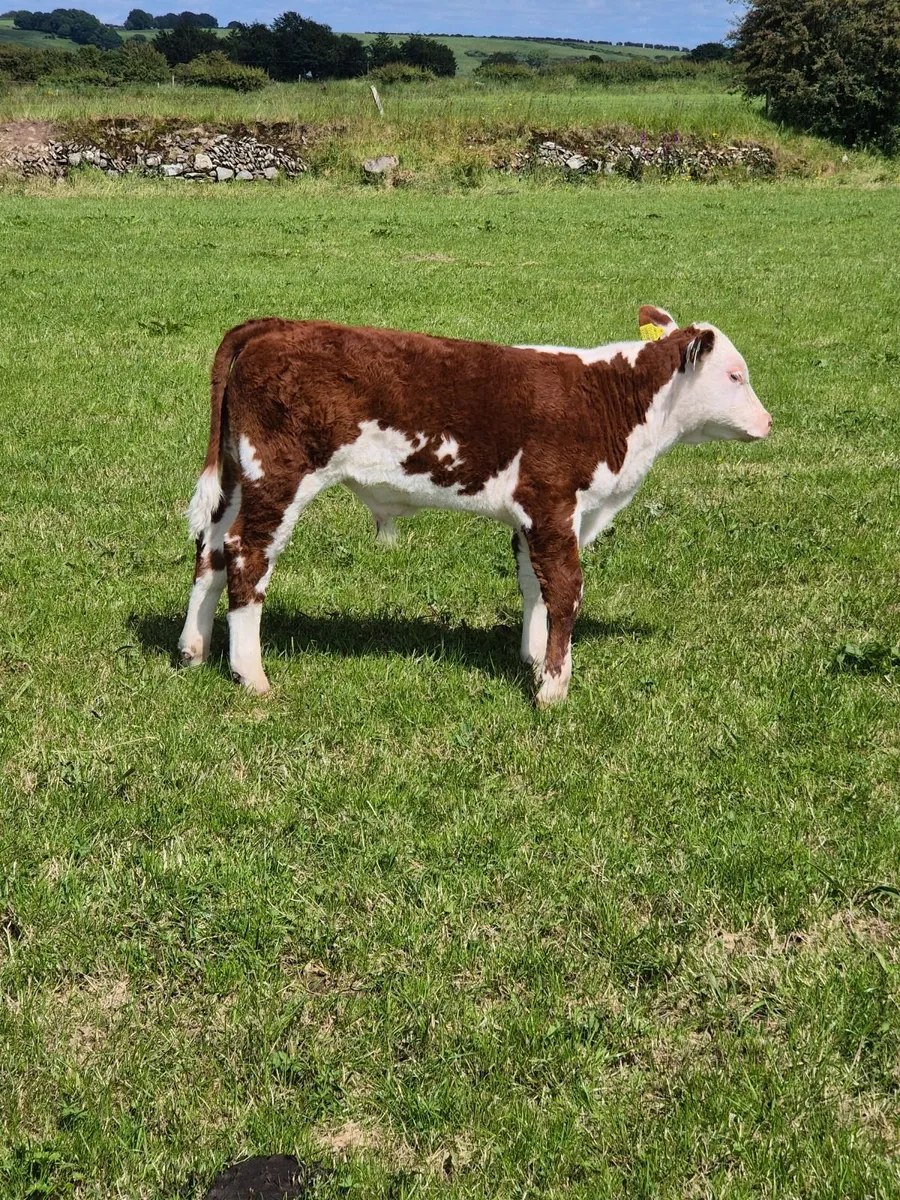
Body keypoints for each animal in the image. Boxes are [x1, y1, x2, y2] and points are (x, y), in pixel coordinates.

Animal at [179, 307, 771, 705]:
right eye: (735, 375)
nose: (768, 423)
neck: (610, 401)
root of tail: (272, 325)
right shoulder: (551, 502)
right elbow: (565, 590)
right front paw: (553, 688)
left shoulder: (533, 517)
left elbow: (532, 584)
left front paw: (532, 659)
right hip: (277, 474)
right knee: (247, 555)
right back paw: (251, 675)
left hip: (237, 479)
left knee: (210, 550)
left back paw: (193, 650)